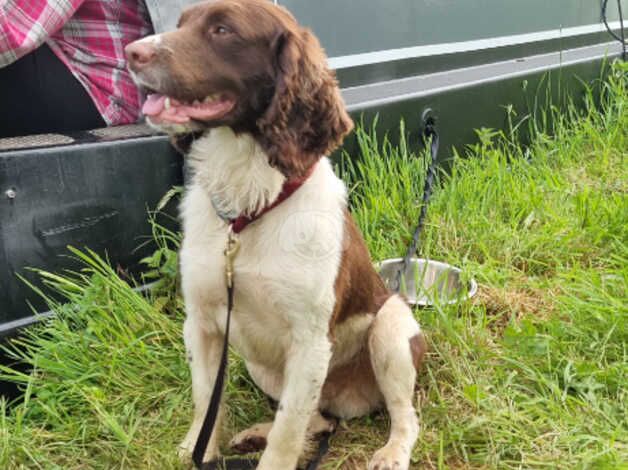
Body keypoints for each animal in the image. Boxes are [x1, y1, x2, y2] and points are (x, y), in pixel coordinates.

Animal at [124, 1, 426, 468]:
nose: (132, 52)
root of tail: (348, 402)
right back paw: (255, 436)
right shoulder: (201, 324)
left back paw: (391, 453)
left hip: (390, 328)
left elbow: (288, 429)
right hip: (263, 368)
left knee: (403, 416)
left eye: (223, 30)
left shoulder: (309, 343)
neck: (246, 212)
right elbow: (206, 400)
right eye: (180, 23)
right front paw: (197, 450)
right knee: (318, 420)